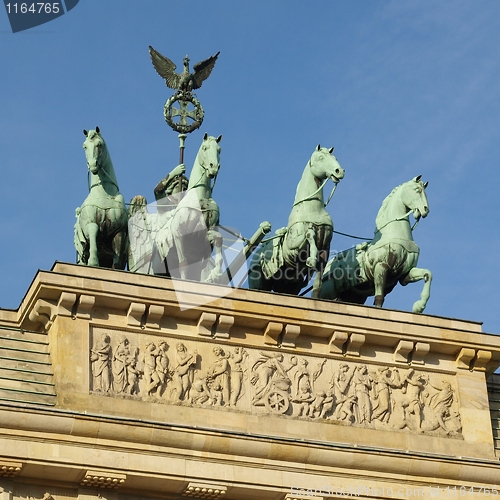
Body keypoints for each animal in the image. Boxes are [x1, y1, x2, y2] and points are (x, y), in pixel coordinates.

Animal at [75, 128, 129, 270]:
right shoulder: (90, 223)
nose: (93, 165)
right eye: (84, 146)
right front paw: (93, 262)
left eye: (99, 144)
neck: (104, 194)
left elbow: (116, 262)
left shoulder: (119, 231)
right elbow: (93, 230)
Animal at [249, 145, 344, 298]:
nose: (339, 171)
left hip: (289, 285)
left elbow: (318, 281)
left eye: (334, 157)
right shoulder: (293, 246)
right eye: (321, 158)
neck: (312, 209)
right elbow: (309, 234)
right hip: (258, 280)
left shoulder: (326, 249)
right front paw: (311, 260)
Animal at [322, 177, 432, 312]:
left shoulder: (404, 274)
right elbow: (379, 297)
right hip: (327, 291)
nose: (426, 209)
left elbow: (428, 274)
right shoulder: (381, 266)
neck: (393, 234)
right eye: (417, 190)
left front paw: (419, 306)